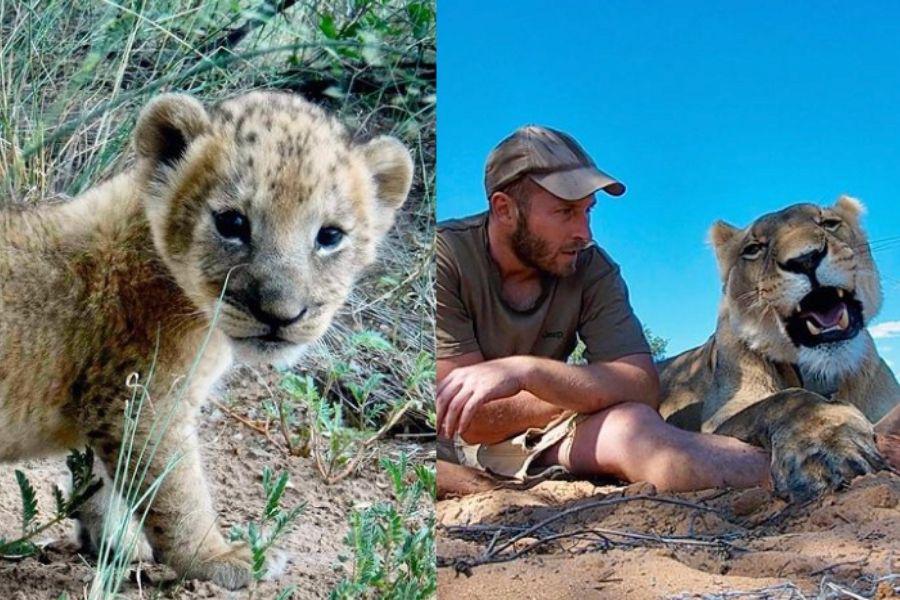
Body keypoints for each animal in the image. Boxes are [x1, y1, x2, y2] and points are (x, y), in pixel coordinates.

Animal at [0, 91, 413, 589]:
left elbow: (96, 479)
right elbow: (176, 493)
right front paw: (217, 558)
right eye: (232, 223)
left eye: (330, 236)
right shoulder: (141, 402)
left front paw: (114, 543)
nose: (281, 315)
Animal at [658, 196, 898, 502]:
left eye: (829, 223)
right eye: (753, 249)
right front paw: (826, 450)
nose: (805, 259)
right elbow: (786, 400)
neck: (818, 374)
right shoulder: (719, 416)